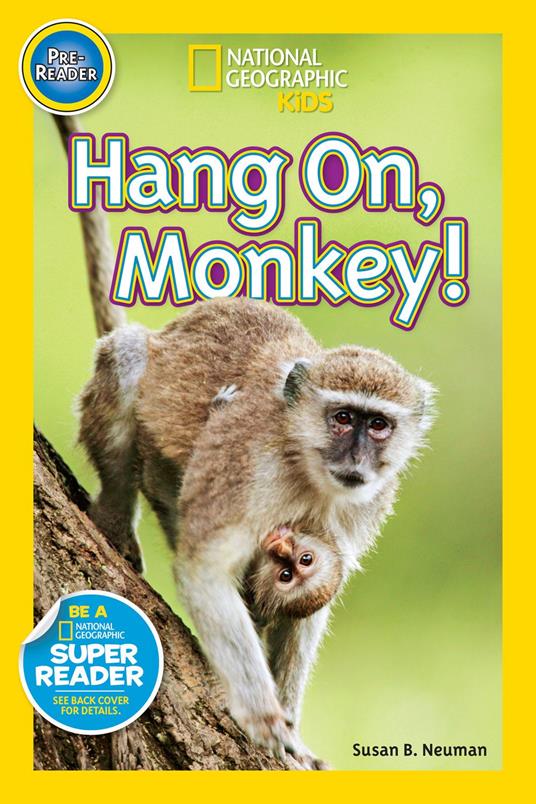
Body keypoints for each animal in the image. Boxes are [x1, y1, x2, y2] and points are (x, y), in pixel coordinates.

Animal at [55, 114, 436, 769]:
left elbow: (313, 605)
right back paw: (114, 513)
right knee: (128, 357)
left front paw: (294, 734)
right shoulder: (246, 466)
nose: (357, 458)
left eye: (379, 425)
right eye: (343, 418)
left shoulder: (363, 508)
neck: (309, 471)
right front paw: (263, 715)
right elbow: (207, 566)